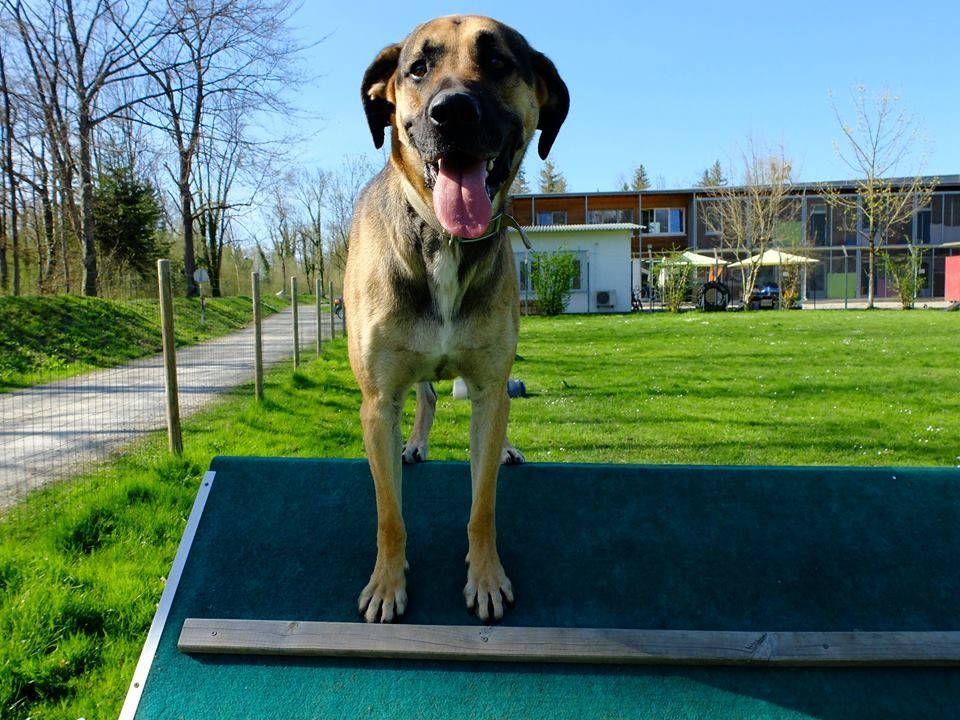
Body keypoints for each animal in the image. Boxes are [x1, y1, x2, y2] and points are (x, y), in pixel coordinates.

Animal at [346, 14, 568, 620]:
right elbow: (388, 514)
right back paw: (416, 444)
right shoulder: (378, 401)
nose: (452, 112)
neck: (443, 239)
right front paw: (387, 583)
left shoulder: (490, 389)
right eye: (418, 67)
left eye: (497, 62)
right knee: (423, 396)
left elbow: (482, 505)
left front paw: (486, 577)